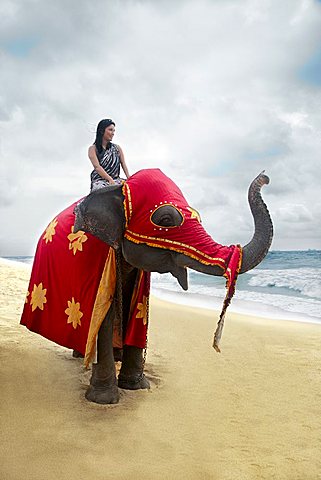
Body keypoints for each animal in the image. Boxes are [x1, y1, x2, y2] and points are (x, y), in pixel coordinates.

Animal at [70, 167, 272, 404]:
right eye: (166, 220)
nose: (265, 177)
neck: (120, 189)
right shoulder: (99, 261)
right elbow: (104, 314)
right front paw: (103, 400)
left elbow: (139, 313)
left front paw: (137, 386)